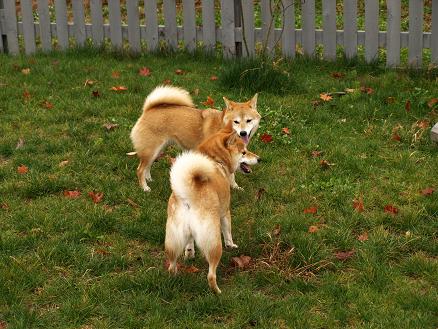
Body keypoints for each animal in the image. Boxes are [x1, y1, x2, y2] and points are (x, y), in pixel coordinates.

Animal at [130, 84, 260, 191]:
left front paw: (235, 187)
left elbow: (232, 173)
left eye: (249, 120)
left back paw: (149, 179)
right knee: (140, 169)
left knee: (147, 166)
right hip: (150, 150)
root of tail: (148, 110)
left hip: (156, 150)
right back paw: (145, 187)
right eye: (236, 121)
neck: (222, 125)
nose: (243, 133)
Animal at [165, 125, 260, 292]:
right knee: (211, 274)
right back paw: (217, 292)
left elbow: (189, 243)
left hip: (173, 240)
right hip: (213, 243)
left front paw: (190, 254)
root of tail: (189, 194)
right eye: (244, 152)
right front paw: (232, 245)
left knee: (171, 265)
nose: (259, 158)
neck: (215, 159)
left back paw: (174, 278)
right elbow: (228, 232)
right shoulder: (225, 213)